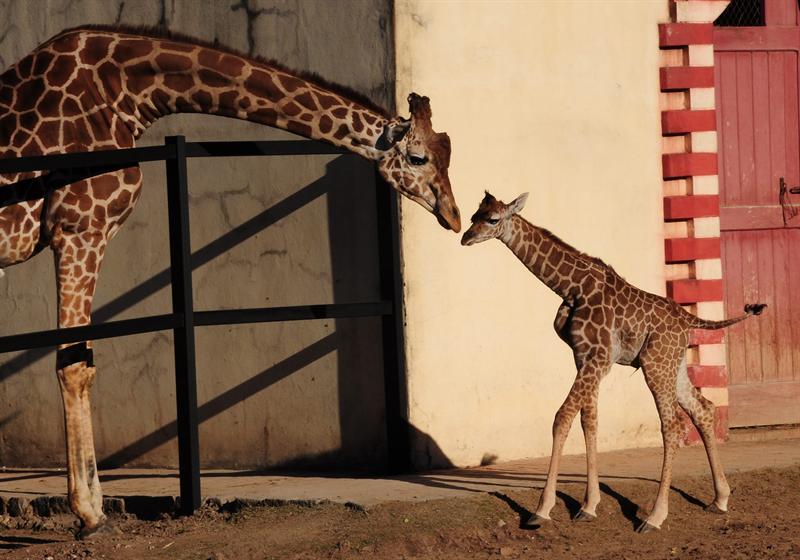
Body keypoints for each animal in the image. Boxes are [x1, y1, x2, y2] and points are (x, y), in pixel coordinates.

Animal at [0, 26, 460, 540]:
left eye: (449, 153)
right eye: (418, 157)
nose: (454, 216)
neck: (125, 95)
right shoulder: (80, 230)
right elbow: (76, 365)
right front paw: (89, 512)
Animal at [462, 192, 768, 532]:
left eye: (492, 219)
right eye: (474, 215)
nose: (465, 237)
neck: (571, 286)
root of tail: (689, 319)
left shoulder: (599, 357)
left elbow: (562, 417)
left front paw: (541, 510)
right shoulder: (584, 357)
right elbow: (589, 420)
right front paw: (588, 506)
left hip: (655, 365)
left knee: (672, 424)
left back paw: (654, 517)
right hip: (672, 364)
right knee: (702, 409)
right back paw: (720, 499)